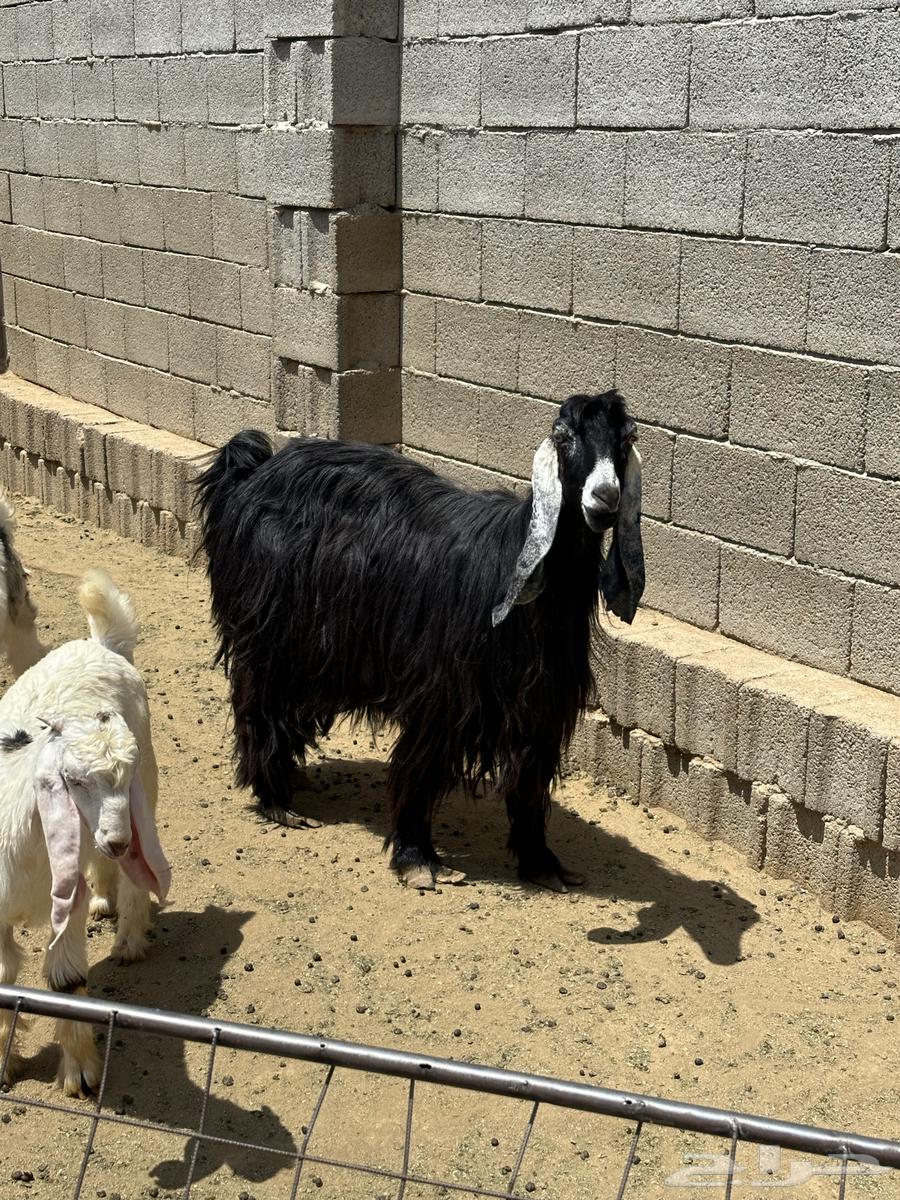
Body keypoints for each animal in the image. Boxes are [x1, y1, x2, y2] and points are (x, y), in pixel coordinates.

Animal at [0, 570, 170, 1096]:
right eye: (71, 780)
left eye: (125, 776)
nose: (116, 839)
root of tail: (100, 644)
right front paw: (4, 1065)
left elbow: (66, 981)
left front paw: (79, 1074)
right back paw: (104, 896)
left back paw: (129, 939)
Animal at [196, 391, 644, 892]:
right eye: (564, 436)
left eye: (627, 438)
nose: (604, 500)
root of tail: (253, 471)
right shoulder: (445, 688)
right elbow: (422, 762)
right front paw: (416, 858)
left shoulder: (543, 701)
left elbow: (530, 775)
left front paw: (542, 863)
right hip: (271, 634)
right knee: (258, 700)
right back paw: (276, 800)